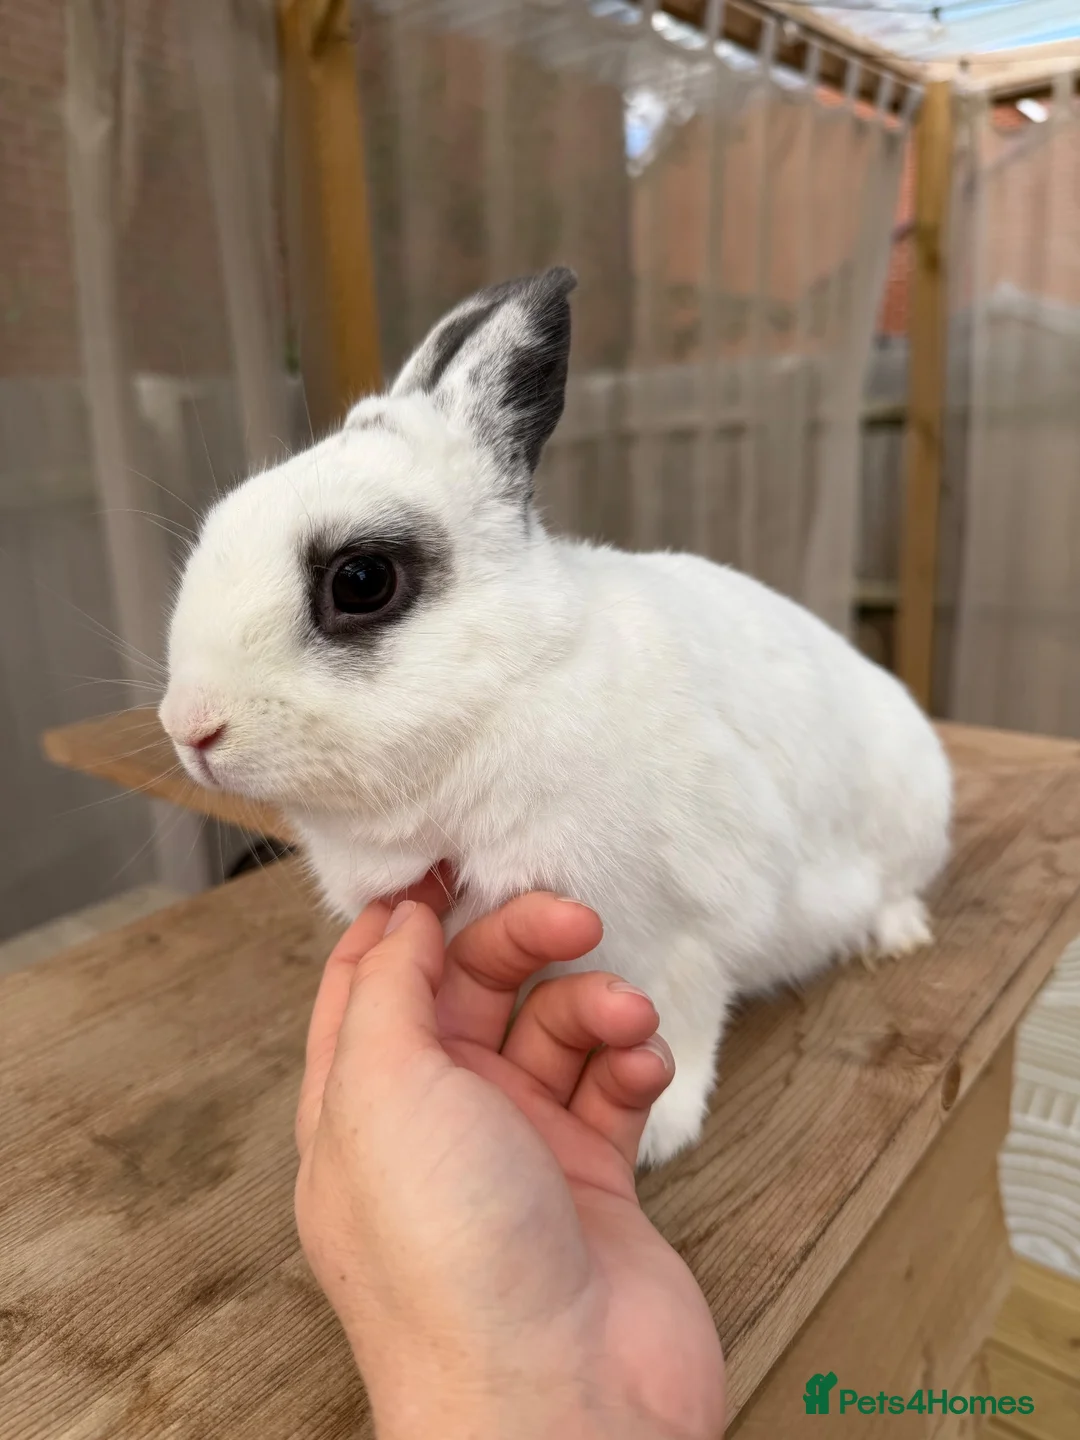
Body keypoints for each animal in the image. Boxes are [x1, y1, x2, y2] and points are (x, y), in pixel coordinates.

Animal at [160, 266, 952, 1168]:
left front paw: (657, 1131)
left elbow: (677, 1024)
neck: (508, 692)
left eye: (362, 580)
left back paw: (895, 936)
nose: (191, 729)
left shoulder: (688, 927)